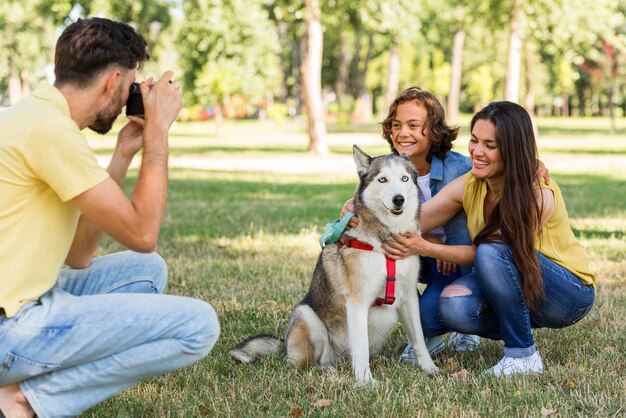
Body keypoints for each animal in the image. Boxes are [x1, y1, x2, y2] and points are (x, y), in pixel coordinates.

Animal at [227, 145, 436, 386]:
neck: (386, 240)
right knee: (302, 366)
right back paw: (326, 370)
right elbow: (361, 348)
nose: (398, 199)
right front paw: (365, 382)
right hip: (306, 316)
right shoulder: (357, 302)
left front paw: (429, 368)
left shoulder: (409, 297)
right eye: (382, 179)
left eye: (404, 178)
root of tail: (284, 344)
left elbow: (419, 338)